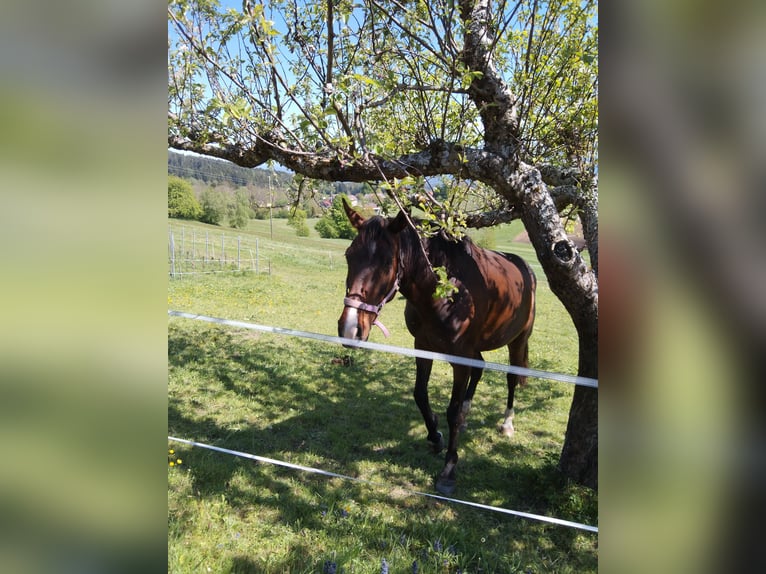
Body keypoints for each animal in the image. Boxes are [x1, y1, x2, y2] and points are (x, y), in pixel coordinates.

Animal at [340, 198, 536, 496]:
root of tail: (524, 267)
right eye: (349, 255)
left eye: (386, 262)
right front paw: (435, 437)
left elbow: (452, 412)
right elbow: (420, 395)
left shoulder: (460, 360)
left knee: (512, 378)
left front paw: (448, 470)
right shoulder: (422, 346)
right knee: (480, 370)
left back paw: (507, 424)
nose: (350, 328)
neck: (447, 288)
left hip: (518, 341)